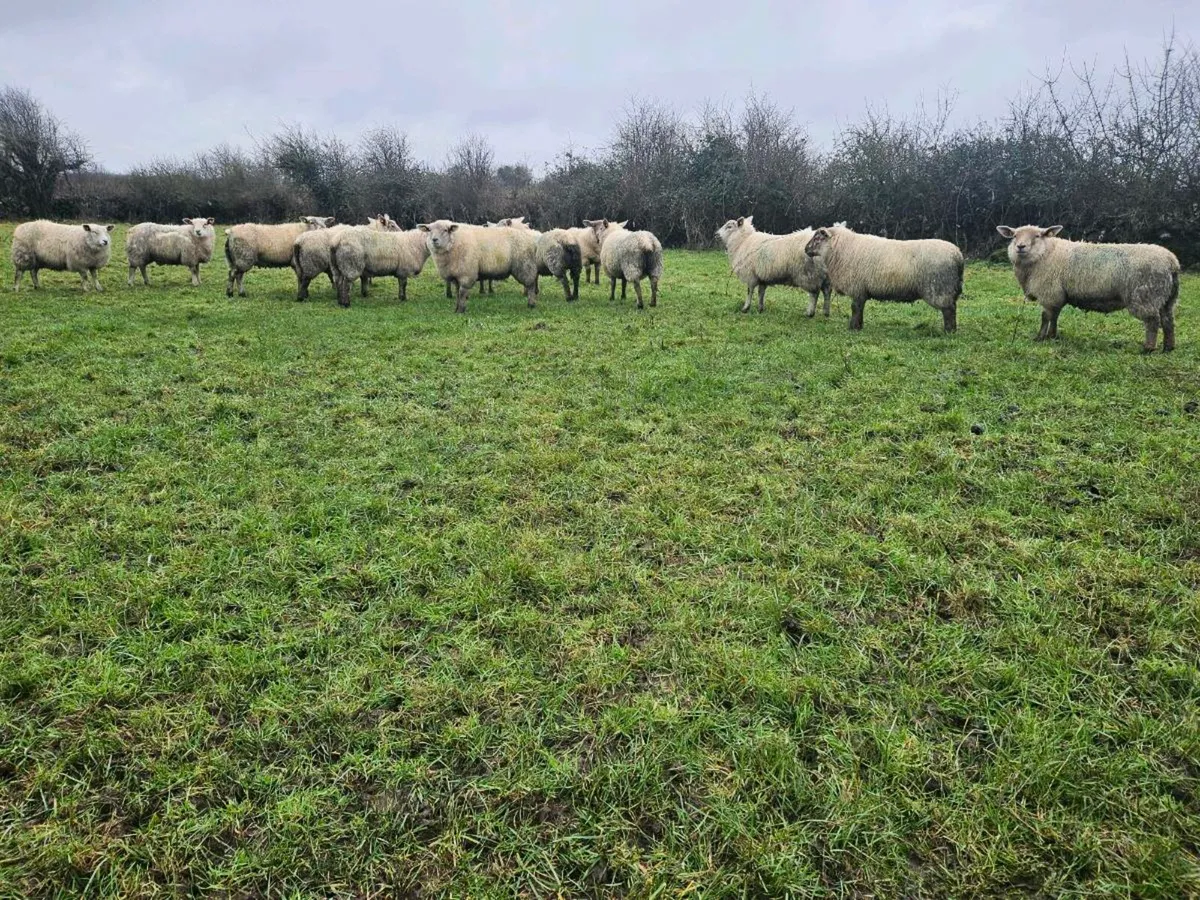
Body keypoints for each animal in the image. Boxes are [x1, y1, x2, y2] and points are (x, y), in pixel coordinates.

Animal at [803, 225, 963, 332]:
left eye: (817, 238)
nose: (805, 249)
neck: (841, 249)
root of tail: (957, 255)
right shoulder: (862, 290)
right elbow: (860, 309)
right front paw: (859, 326)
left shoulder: (857, 287)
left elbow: (855, 308)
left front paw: (853, 328)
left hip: (940, 289)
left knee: (949, 309)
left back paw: (949, 331)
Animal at [996, 225, 1181, 352]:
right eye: (1014, 236)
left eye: (1037, 235)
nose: (1020, 247)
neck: (1045, 254)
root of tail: (1172, 262)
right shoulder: (1057, 295)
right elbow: (1054, 316)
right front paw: (1052, 336)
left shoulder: (1049, 293)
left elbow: (1045, 317)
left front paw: (1040, 337)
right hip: (1166, 298)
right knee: (1168, 320)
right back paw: (1168, 348)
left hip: (1145, 295)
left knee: (1152, 321)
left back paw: (1148, 348)